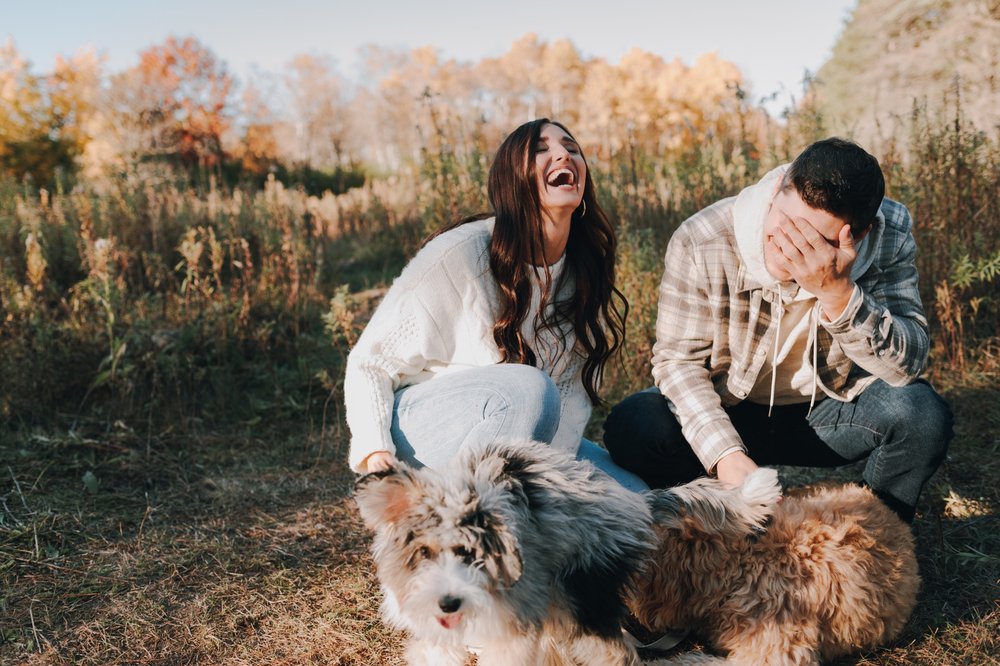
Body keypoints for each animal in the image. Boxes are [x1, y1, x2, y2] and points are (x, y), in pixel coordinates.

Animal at [356, 440, 652, 664]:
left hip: (582, 589)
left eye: (470, 552)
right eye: (425, 551)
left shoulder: (513, 620)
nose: (449, 603)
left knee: (614, 651)